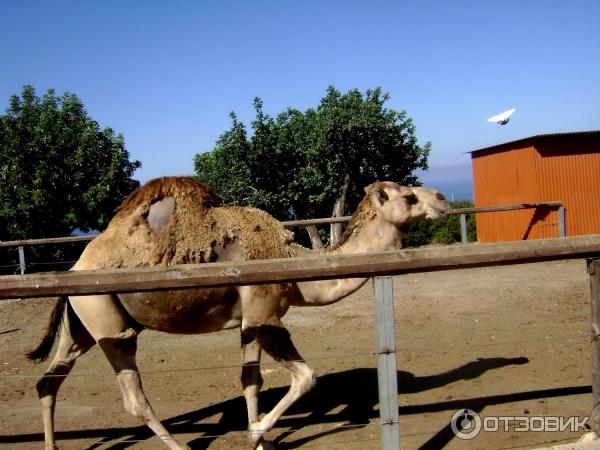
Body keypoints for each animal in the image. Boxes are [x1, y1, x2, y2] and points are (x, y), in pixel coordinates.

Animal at [29, 178, 450, 448]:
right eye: (408, 197)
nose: (443, 198)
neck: (290, 265)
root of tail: (75, 268)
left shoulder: (250, 322)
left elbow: (250, 381)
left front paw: (259, 440)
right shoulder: (265, 317)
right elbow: (307, 377)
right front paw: (257, 433)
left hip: (83, 324)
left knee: (48, 381)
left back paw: (52, 447)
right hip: (109, 323)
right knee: (134, 397)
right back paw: (182, 449)